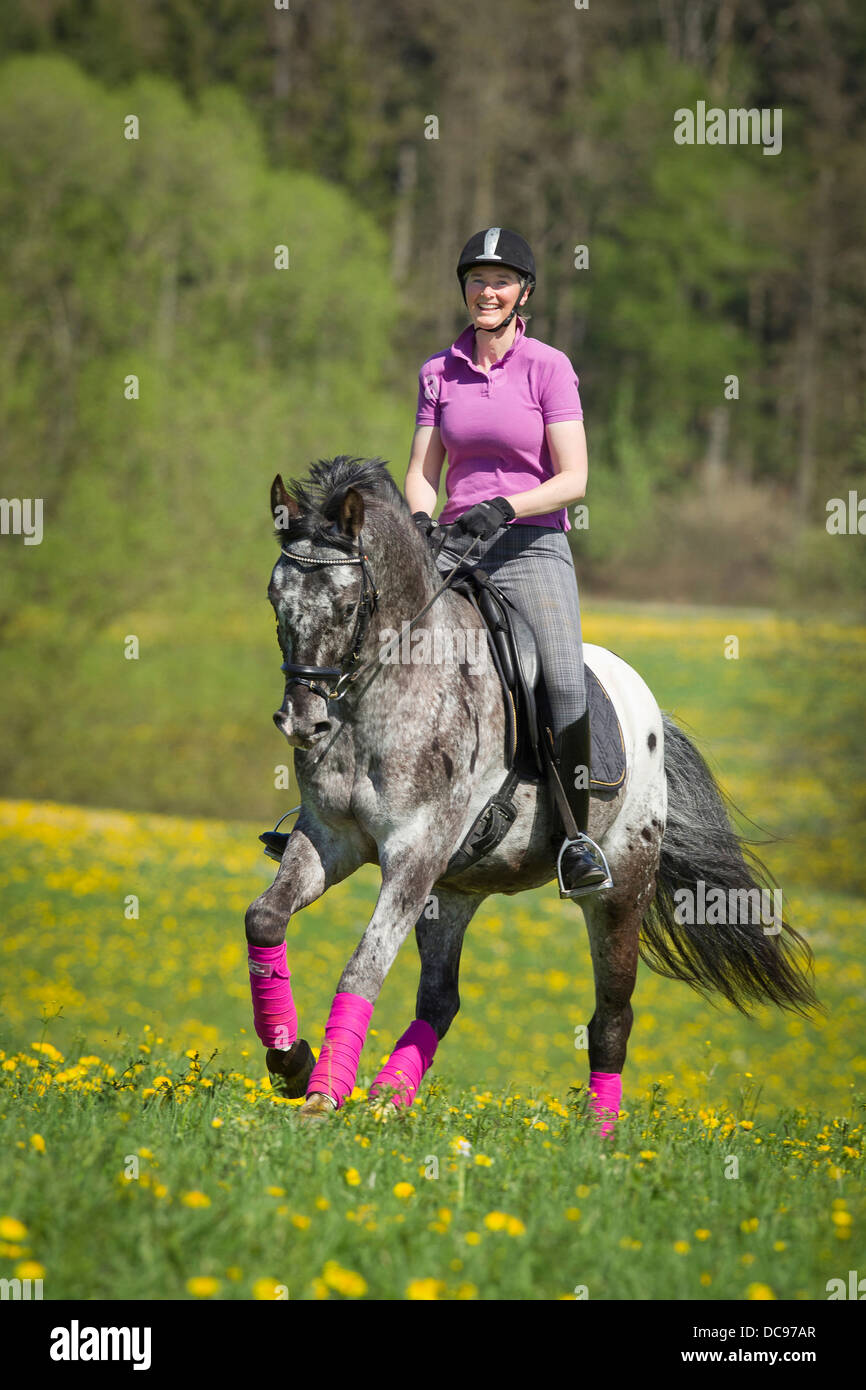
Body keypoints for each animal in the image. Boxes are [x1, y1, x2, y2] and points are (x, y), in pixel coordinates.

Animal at [244, 456, 819, 1132]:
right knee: (440, 1001)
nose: (302, 723)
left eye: (350, 601)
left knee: (613, 1016)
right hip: (455, 888)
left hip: (621, 885)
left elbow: (363, 966)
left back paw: (596, 1134)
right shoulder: (330, 839)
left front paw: (321, 1097)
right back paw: (388, 1100)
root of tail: (649, 708)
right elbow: (265, 918)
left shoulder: (414, 852)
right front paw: (291, 1062)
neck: (379, 698)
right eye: (275, 598)